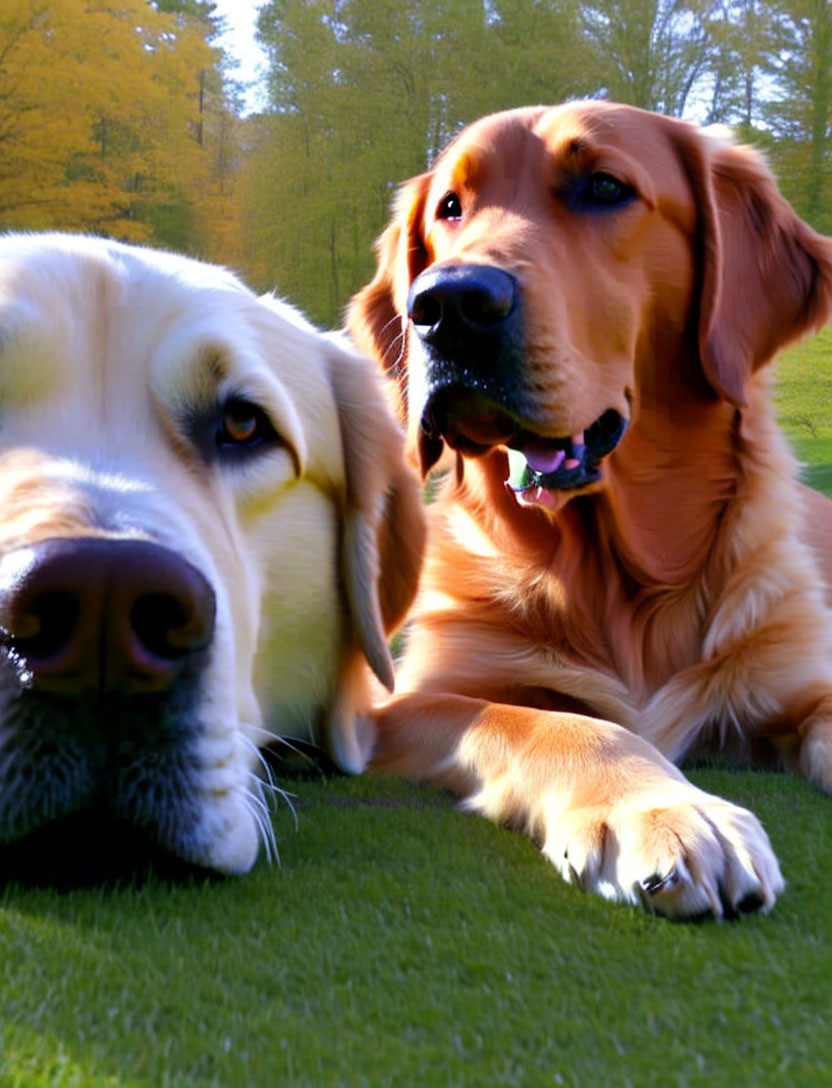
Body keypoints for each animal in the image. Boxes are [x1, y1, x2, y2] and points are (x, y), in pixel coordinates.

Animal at [348, 100, 830, 918]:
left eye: (605, 187)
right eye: (450, 208)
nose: (446, 305)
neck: (617, 573)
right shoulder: (408, 701)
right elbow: (562, 724)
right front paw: (663, 809)